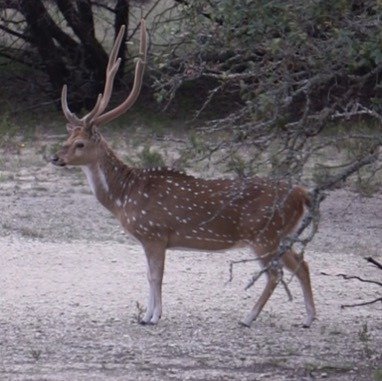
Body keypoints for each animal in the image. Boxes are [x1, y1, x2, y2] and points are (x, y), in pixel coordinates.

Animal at [51, 19, 316, 326]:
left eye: (80, 143)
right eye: (67, 138)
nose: (55, 157)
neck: (124, 197)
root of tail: (302, 193)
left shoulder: (154, 232)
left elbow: (155, 276)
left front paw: (153, 317)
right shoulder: (151, 239)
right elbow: (149, 275)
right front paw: (147, 315)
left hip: (265, 234)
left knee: (276, 273)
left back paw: (248, 317)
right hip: (282, 235)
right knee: (302, 263)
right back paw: (309, 318)